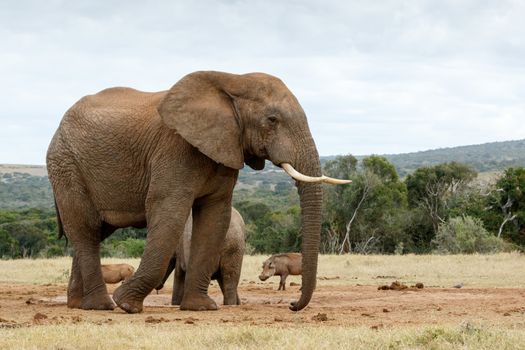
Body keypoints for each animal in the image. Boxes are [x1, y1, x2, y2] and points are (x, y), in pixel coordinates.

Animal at [45, 69, 348, 314]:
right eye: (272, 119)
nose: (292, 304)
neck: (232, 80)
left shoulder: (226, 149)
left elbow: (215, 216)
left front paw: (200, 308)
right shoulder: (175, 148)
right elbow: (169, 211)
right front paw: (127, 305)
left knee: (94, 231)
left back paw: (78, 304)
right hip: (66, 165)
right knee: (85, 229)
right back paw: (102, 305)